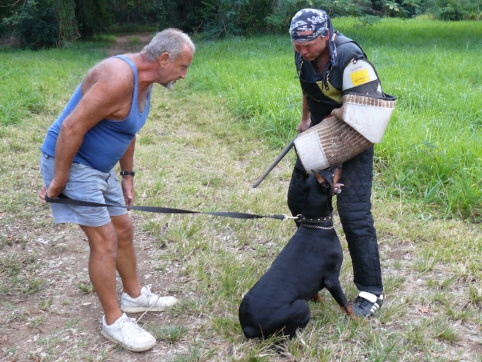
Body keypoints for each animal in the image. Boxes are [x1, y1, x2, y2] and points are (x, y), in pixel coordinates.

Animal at [239, 165, 352, 338]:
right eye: (331, 173)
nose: (340, 165)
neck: (315, 226)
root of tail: (248, 327)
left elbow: (314, 292)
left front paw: (320, 301)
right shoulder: (332, 279)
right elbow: (345, 304)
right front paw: (359, 321)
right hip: (300, 306)